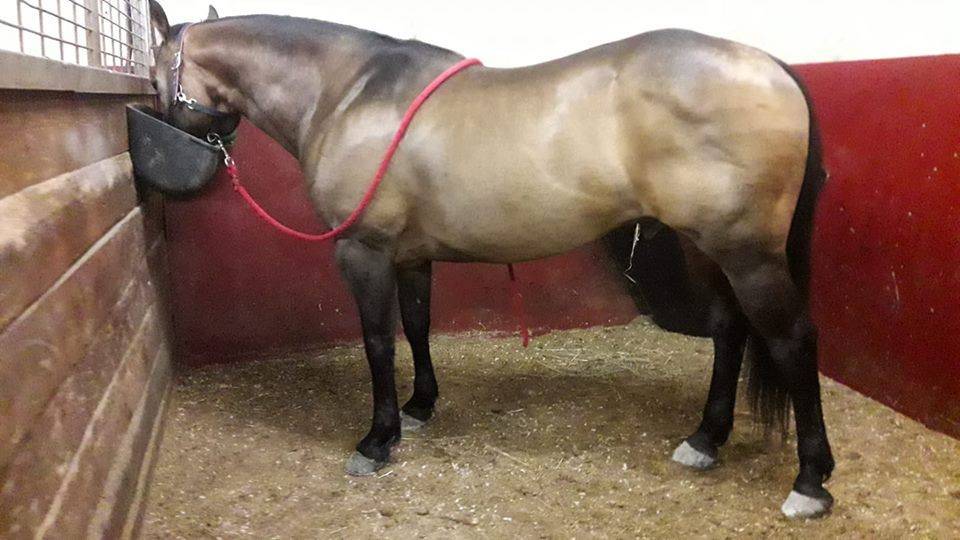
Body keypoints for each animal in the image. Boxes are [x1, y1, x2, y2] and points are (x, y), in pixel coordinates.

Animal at [147, 1, 834, 518]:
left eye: (152, 78)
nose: (164, 167)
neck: (348, 94)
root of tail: (771, 66)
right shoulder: (411, 256)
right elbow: (417, 326)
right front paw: (420, 408)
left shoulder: (363, 250)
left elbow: (377, 340)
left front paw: (378, 439)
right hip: (709, 247)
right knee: (729, 332)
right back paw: (705, 440)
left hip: (748, 254)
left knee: (792, 339)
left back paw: (810, 481)